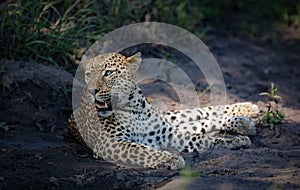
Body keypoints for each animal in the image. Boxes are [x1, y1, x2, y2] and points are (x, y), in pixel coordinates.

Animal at [67, 51, 258, 169]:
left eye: (108, 73)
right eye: (88, 75)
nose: (91, 91)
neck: (134, 108)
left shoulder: (164, 134)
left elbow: (200, 139)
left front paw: (236, 140)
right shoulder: (109, 143)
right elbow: (142, 150)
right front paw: (171, 158)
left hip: (167, 123)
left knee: (198, 113)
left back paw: (245, 112)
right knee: (196, 122)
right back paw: (244, 122)